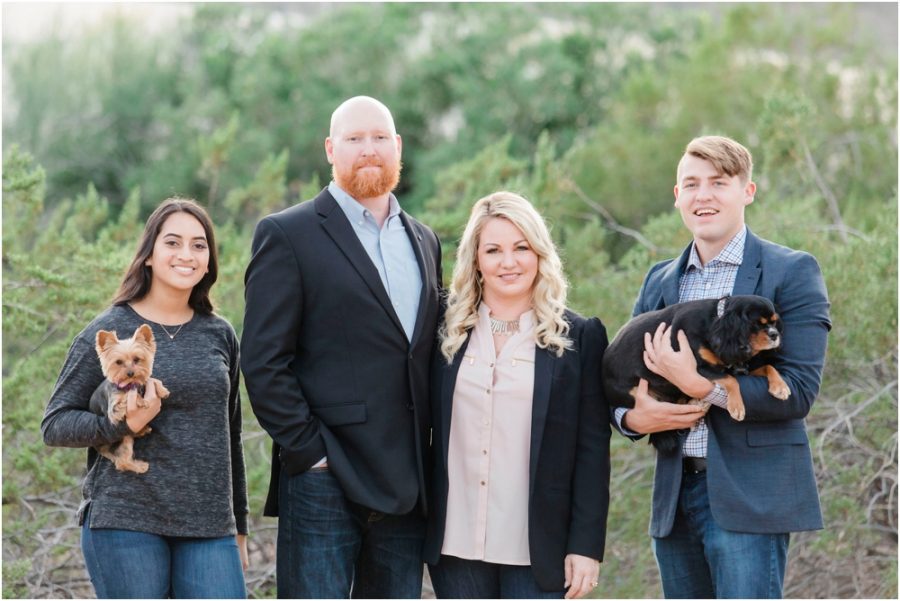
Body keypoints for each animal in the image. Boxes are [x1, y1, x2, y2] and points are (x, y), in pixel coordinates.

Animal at [604, 292, 788, 452]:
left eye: (773, 323)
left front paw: (781, 387)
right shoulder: (699, 368)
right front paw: (736, 406)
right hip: (635, 394)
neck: (715, 322)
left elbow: (767, 367)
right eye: (757, 323)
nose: (775, 335)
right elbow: (730, 380)